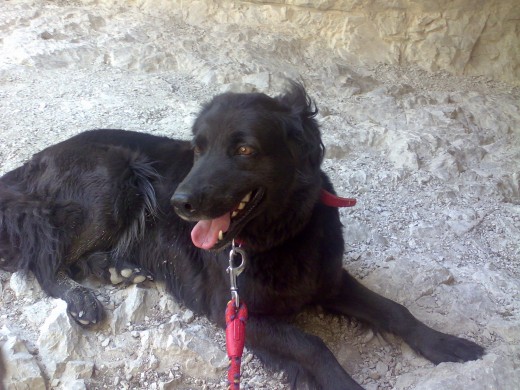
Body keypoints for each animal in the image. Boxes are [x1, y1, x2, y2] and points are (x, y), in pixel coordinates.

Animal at [0, 82, 484, 386]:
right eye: (198, 148)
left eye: (245, 149)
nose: (179, 203)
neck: (277, 237)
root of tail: (32, 162)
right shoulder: (232, 310)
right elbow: (312, 346)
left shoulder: (328, 280)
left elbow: (395, 311)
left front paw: (444, 343)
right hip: (111, 178)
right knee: (45, 260)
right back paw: (80, 299)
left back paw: (118, 270)